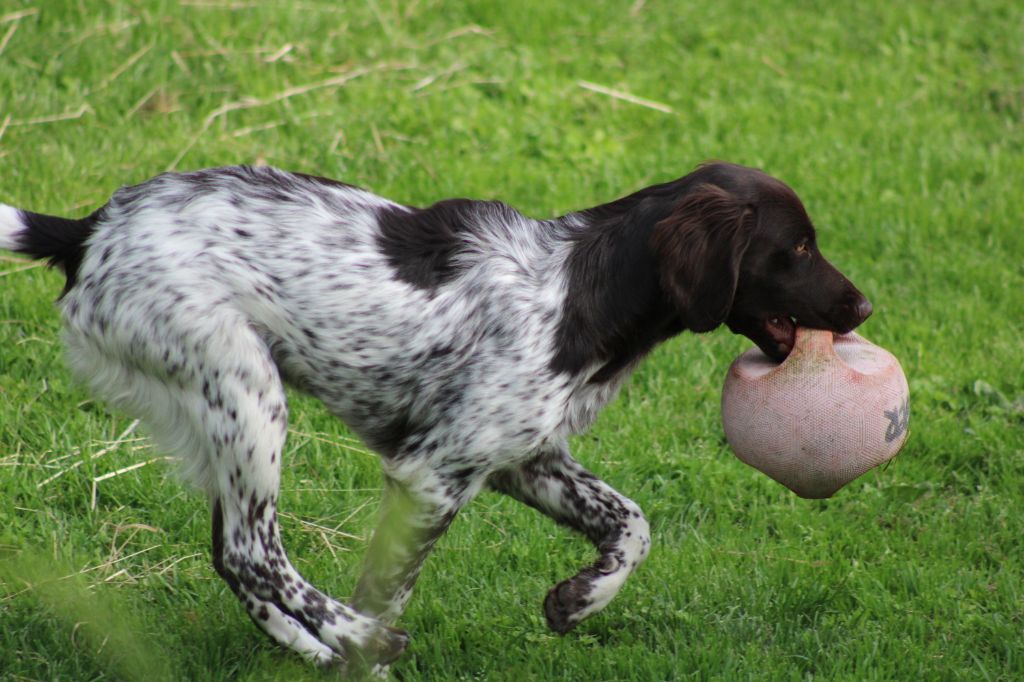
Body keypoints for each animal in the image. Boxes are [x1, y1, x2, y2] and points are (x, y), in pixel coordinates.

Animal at [0, 163, 872, 667]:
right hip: (246, 389)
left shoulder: (523, 458)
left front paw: (579, 599)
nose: (864, 306)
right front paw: (371, 654)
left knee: (231, 553)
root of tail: (87, 230)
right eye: (796, 248)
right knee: (255, 551)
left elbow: (632, 522)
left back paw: (309, 647)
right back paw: (351, 637)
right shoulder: (433, 476)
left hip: (217, 405)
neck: (581, 288)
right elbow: (390, 585)